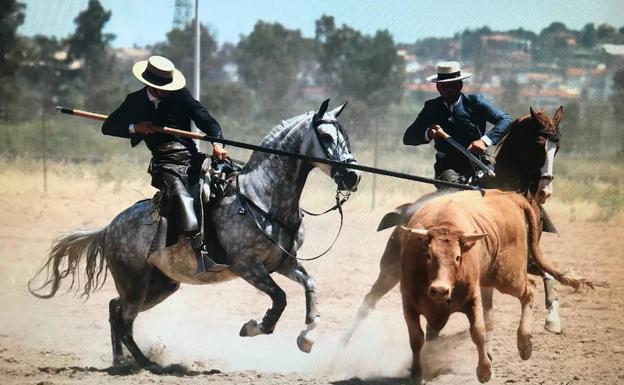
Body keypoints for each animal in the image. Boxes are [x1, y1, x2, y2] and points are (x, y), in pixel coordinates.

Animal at [29, 100, 360, 372]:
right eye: (327, 137)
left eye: (345, 136)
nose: (353, 177)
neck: (260, 197)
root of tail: (109, 229)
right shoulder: (248, 266)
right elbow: (279, 299)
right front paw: (253, 326)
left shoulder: (283, 263)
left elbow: (310, 286)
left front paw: (307, 338)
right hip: (134, 283)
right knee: (123, 319)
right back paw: (147, 364)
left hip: (160, 286)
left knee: (115, 310)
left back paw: (121, 362)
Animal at [400, 188, 588, 380]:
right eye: (428, 255)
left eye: (458, 257)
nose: (439, 290)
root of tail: (510, 195)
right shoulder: (408, 303)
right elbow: (416, 339)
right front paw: (416, 373)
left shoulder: (473, 298)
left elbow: (478, 332)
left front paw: (484, 370)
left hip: (509, 278)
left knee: (529, 289)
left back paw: (525, 344)